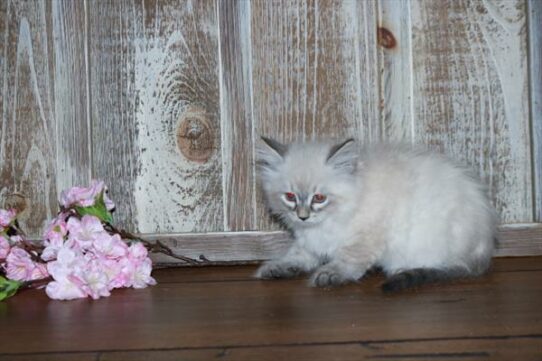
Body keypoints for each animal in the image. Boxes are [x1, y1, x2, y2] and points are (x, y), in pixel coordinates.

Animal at [258, 136, 500, 292]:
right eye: (290, 196)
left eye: (319, 198)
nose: (302, 216)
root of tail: (484, 251)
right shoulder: (310, 241)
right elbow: (296, 256)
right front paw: (275, 268)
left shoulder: (365, 237)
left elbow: (348, 260)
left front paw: (329, 274)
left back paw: (403, 269)